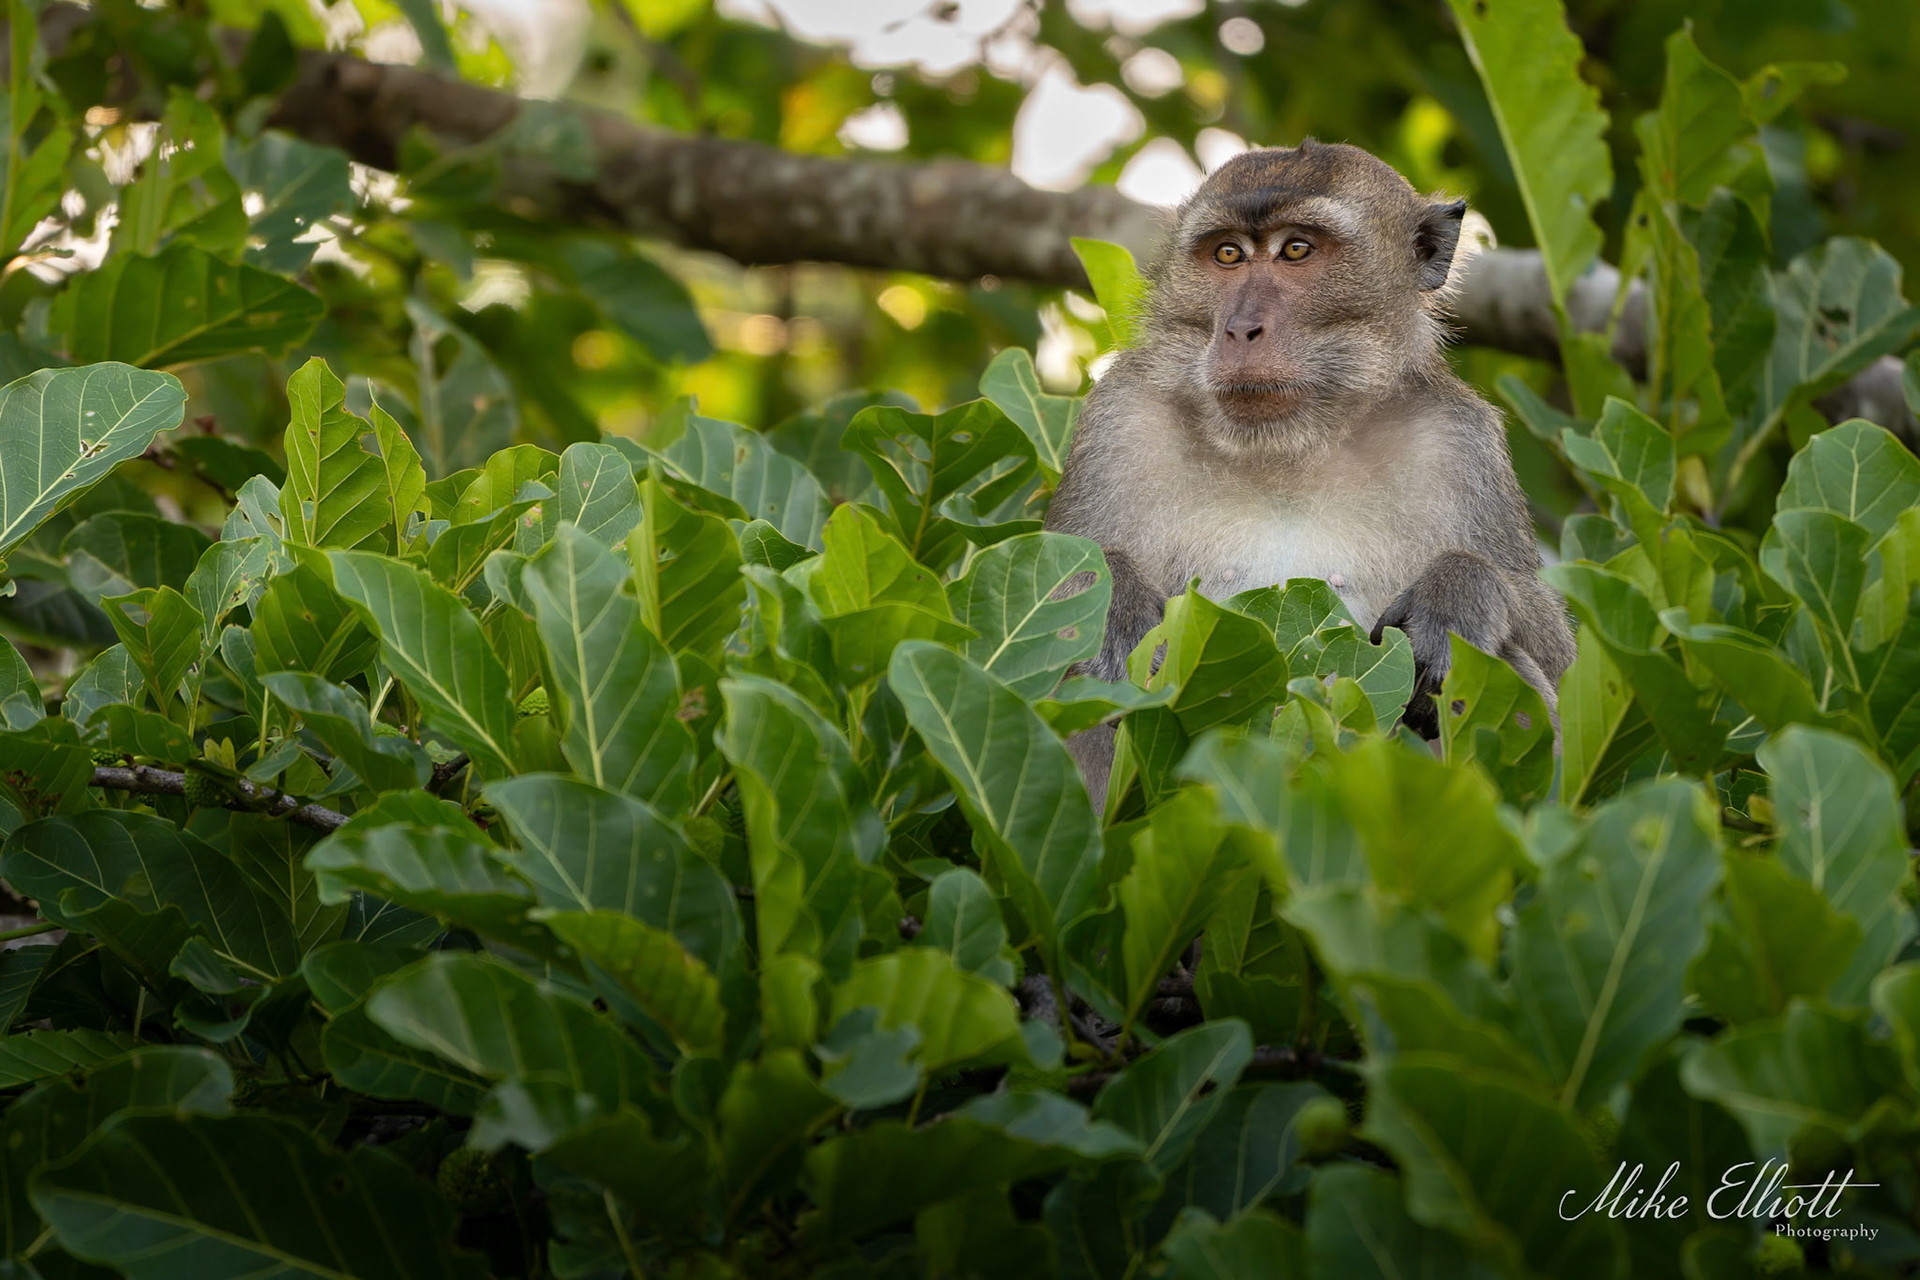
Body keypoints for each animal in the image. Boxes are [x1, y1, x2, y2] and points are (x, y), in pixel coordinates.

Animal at [1043, 140, 1575, 807]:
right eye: (1227, 253)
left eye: (1297, 250)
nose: (1239, 328)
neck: (1290, 448)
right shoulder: (1118, 420)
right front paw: (1116, 596)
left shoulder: (1461, 442)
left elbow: (1561, 658)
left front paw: (1457, 596)